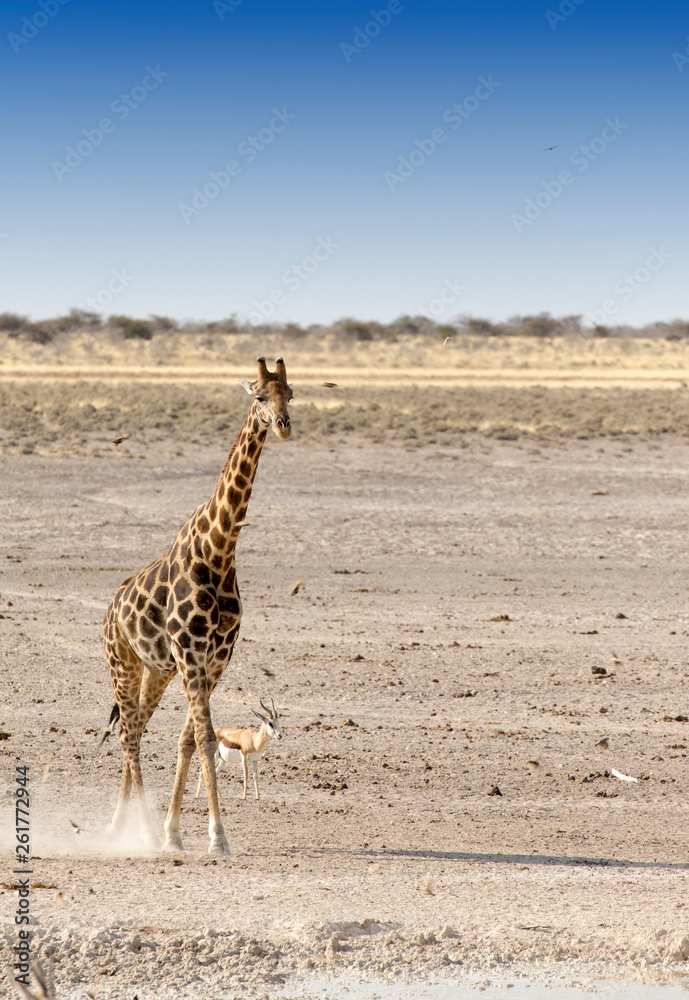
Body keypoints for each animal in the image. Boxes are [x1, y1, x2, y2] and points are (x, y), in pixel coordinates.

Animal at [102, 357, 293, 855]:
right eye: (259, 396)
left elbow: (189, 739)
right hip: (123, 662)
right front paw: (215, 837)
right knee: (128, 733)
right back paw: (141, 832)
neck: (220, 551)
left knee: (136, 727)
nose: (283, 425)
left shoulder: (217, 655)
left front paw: (177, 832)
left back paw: (121, 827)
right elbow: (206, 737)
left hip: (156, 670)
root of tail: (109, 613)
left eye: (291, 394)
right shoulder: (191, 650)